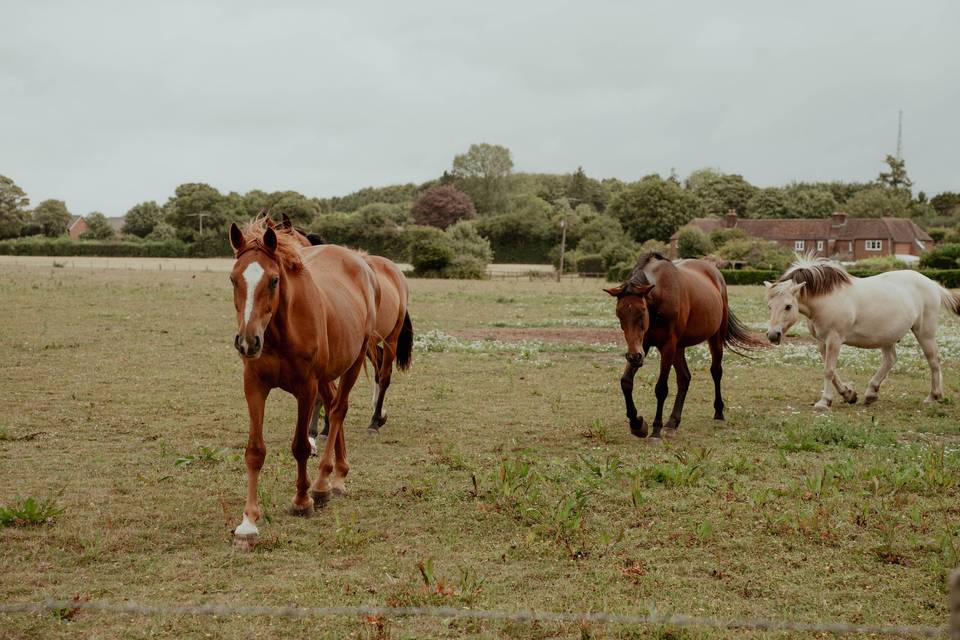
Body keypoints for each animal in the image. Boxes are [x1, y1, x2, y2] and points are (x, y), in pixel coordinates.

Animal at [227, 217, 380, 551]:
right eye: (233, 279)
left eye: (273, 280)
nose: (247, 342)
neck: (280, 331)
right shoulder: (253, 385)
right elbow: (255, 451)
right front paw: (248, 523)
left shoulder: (305, 389)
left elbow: (300, 445)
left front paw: (302, 500)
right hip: (327, 376)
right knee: (334, 405)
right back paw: (339, 473)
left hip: (352, 361)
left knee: (338, 410)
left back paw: (325, 483)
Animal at [275, 214, 413, 443]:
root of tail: (394, 271)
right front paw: (317, 429)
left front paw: (320, 429)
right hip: (368, 345)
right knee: (378, 368)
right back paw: (380, 416)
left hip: (390, 338)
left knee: (384, 374)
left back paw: (374, 422)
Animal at [605, 252, 763, 438]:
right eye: (619, 315)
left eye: (642, 312)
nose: (633, 357)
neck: (659, 296)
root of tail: (715, 273)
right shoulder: (644, 344)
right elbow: (626, 382)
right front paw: (637, 424)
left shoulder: (667, 346)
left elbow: (661, 389)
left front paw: (655, 430)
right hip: (678, 348)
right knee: (684, 379)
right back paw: (673, 421)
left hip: (713, 338)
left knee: (716, 372)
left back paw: (718, 413)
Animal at [765, 255, 960, 410]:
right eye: (769, 306)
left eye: (788, 306)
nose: (773, 335)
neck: (827, 298)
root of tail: (932, 284)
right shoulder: (822, 341)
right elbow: (831, 371)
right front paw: (848, 394)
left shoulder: (834, 340)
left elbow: (829, 370)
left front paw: (824, 402)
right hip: (887, 337)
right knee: (890, 360)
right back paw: (871, 393)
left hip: (924, 332)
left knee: (933, 360)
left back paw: (933, 396)